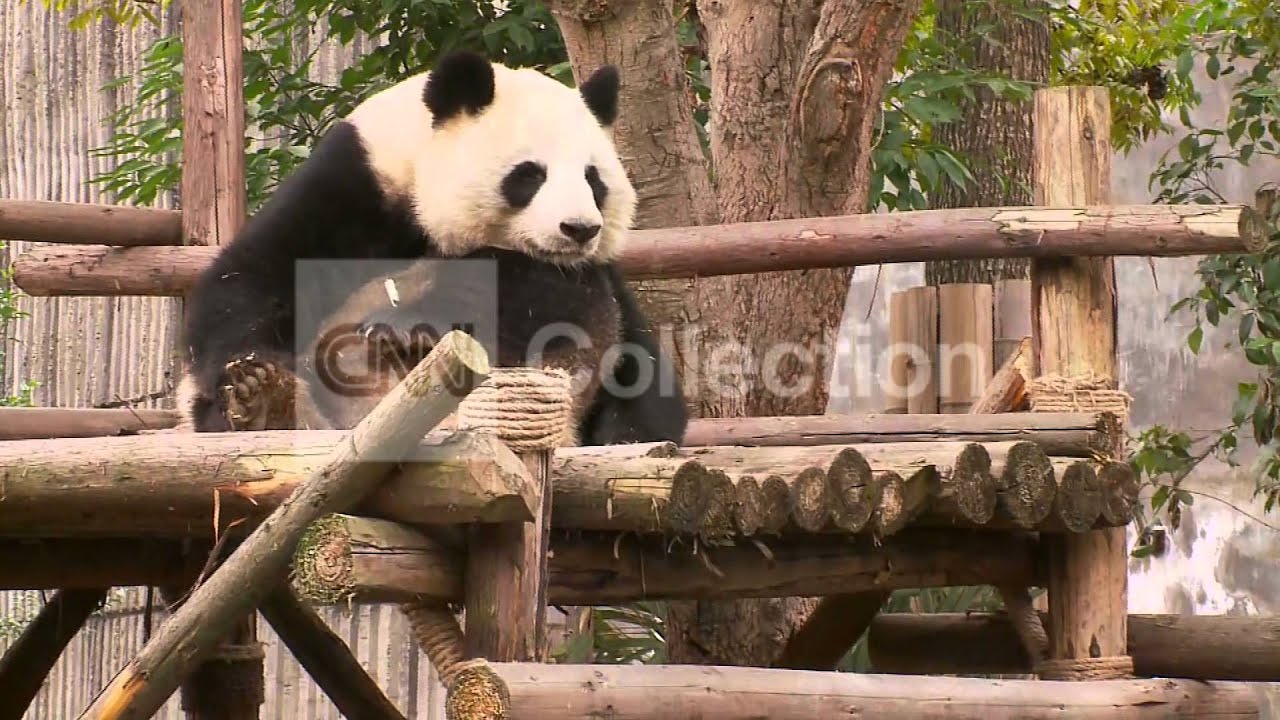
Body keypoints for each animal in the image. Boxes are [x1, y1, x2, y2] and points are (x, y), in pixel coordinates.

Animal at [174, 50, 687, 447]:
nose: (579, 229)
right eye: (530, 175)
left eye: (593, 179)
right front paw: (250, 375)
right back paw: (267, 402)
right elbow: (253, 276)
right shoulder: (356, 181)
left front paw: (408, 326)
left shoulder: (583, 272)